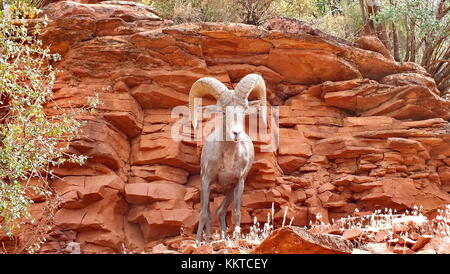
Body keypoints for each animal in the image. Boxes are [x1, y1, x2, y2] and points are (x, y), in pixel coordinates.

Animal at [189, 73, 268, 244]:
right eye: (224, 112)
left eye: (245, 109)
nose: (236, 133)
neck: (228, 160)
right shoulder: (206, 180)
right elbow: (203, 214)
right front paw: (197, 243)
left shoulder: (239, 183)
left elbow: (236, 213)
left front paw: (237, 240)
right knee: (208, 214)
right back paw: (206, 241)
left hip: (230, 191)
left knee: (220, 211)